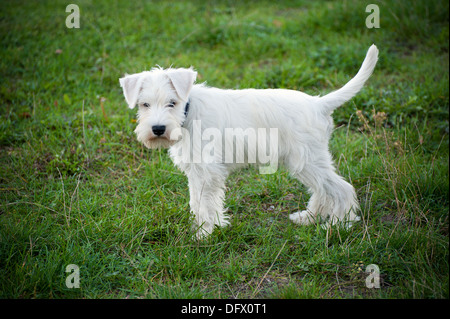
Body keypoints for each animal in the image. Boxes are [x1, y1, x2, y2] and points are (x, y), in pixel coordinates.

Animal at [120, 43, 380, 239]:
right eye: (144, 104)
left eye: (172, 102)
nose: (158, 129)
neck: (187, 112)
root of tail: (319, 103)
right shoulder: (197, 172)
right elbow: (198, 203)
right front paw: (212, 226)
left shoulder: (206, 171)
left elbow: (204, 204)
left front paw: (203, 234)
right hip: (304, 162)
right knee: (322, 191)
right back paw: (307, 218)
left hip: (308, 160)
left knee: (342, 189)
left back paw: (339, 225)